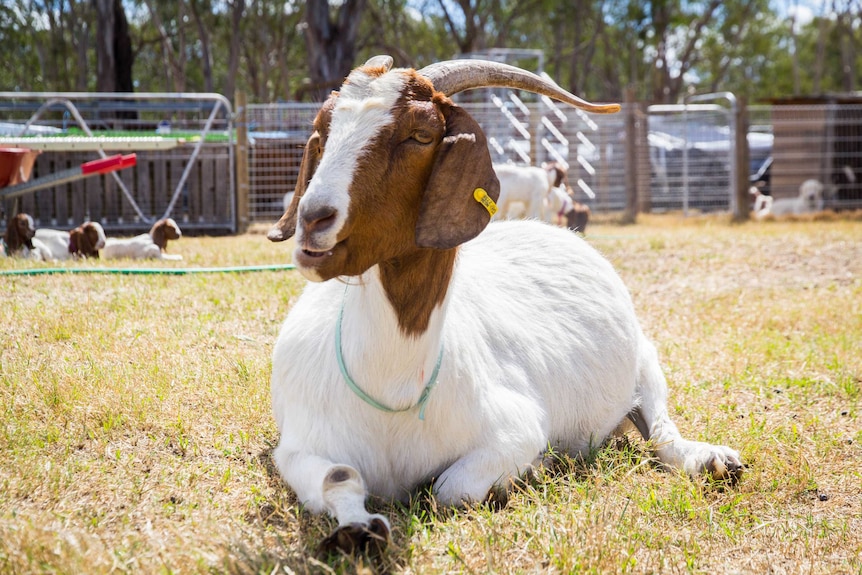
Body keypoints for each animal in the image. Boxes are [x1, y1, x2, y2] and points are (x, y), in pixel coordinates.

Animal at [264, 56, 744, 556]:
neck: (391, 388)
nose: (313, 219)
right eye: (322, 130)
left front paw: (531, 469)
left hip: (645, 359)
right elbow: (339, 476)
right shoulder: (297, 446)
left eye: (421, 134)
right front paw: (357, 530)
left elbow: (448, 491)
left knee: (662, 431)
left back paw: (713, 459)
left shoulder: (517, 427)